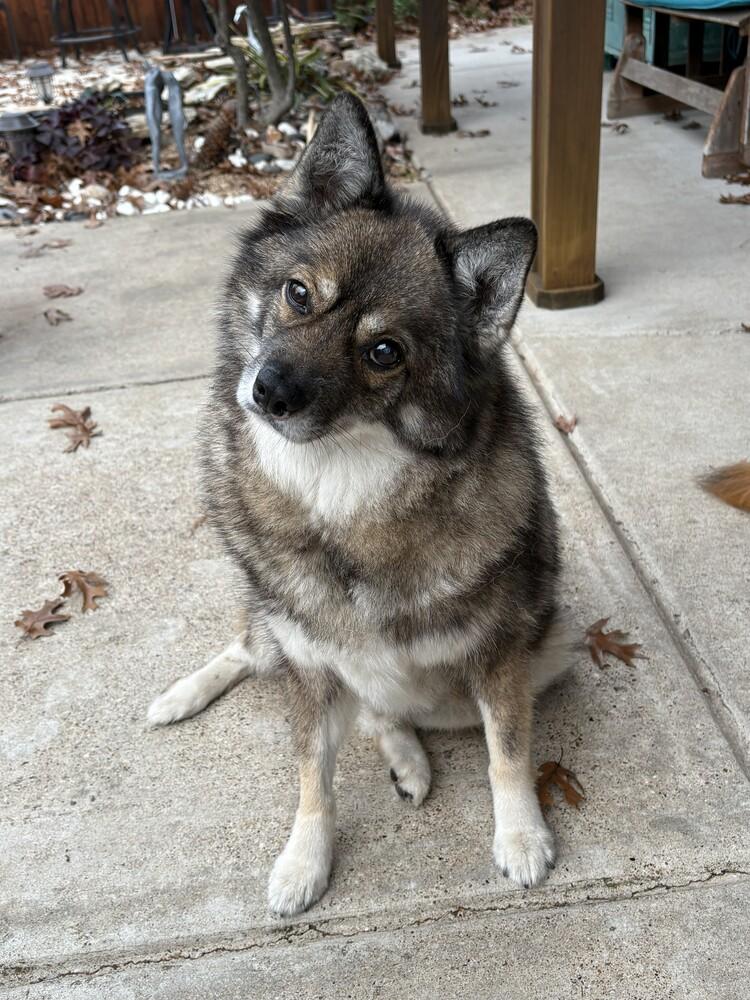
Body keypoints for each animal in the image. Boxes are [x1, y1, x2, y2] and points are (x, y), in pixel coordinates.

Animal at [148, 93, 572, 916]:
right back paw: (182, 695)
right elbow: (313, 775)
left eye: (384, 352)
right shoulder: (309, 665)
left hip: (524, 663)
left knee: (387, 711)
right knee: (250, 649)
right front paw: (304, 860)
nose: (270, 392)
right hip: (276, 636)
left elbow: (507, 751)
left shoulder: (502, 661)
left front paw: (520, 835)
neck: (339, 494)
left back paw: (408, 756)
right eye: (298, 293)